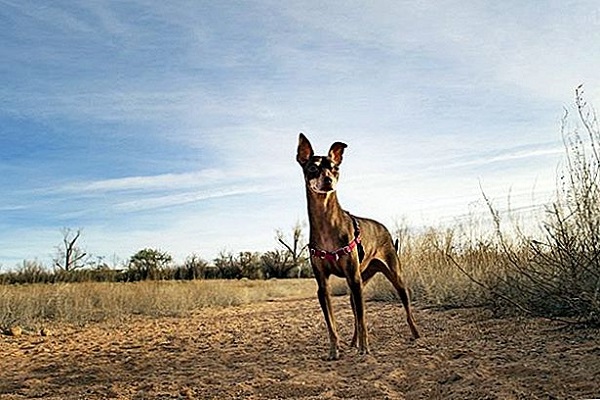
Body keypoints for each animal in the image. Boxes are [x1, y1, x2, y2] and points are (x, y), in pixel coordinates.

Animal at [296, 132, 420, 360]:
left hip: (392, 277)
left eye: (335, 168)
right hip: (360, 281)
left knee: (406, 308)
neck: (326, 223)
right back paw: (353, 342)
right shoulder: (323, 286)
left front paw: (365, 348)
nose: (328, 179)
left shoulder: (353, 279)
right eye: (313, 168)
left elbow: (363, 320)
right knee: (355, 313)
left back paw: (415, 334)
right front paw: (334, 350)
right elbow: (332, 324)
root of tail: (384, 229)